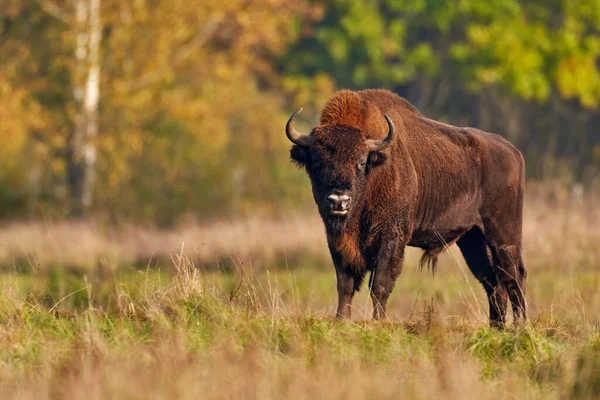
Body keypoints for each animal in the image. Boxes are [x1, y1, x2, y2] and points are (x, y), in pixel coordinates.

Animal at [286, 89, 524, 326]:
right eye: (317, 162)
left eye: (361, 162)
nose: (338, 201)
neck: (375, 171)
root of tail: (513, 151)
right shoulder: (337, 241)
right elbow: (345, 284)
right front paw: (341, 320)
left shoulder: (392, 238)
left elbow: (380, 284)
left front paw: (378, 321)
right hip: (473, 238)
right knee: (492, 280)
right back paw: (497, 327)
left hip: (504, 236)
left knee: (514, 275)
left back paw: (519, 325)